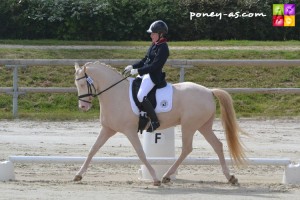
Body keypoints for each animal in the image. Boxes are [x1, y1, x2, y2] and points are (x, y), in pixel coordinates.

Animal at [73, 61, 246, 186]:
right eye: (77, 85)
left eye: (82, 84)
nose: (83, 107)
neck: (116, 93)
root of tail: (209, 91)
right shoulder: (107, 129)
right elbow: (93, 150)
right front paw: (78, 175)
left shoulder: (129, 131)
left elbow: (141, 153)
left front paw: (155, 179)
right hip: (203, 126)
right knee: (217, 145)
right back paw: (230, 177)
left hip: (189, 125)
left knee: (187, 148)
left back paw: (166, 176)